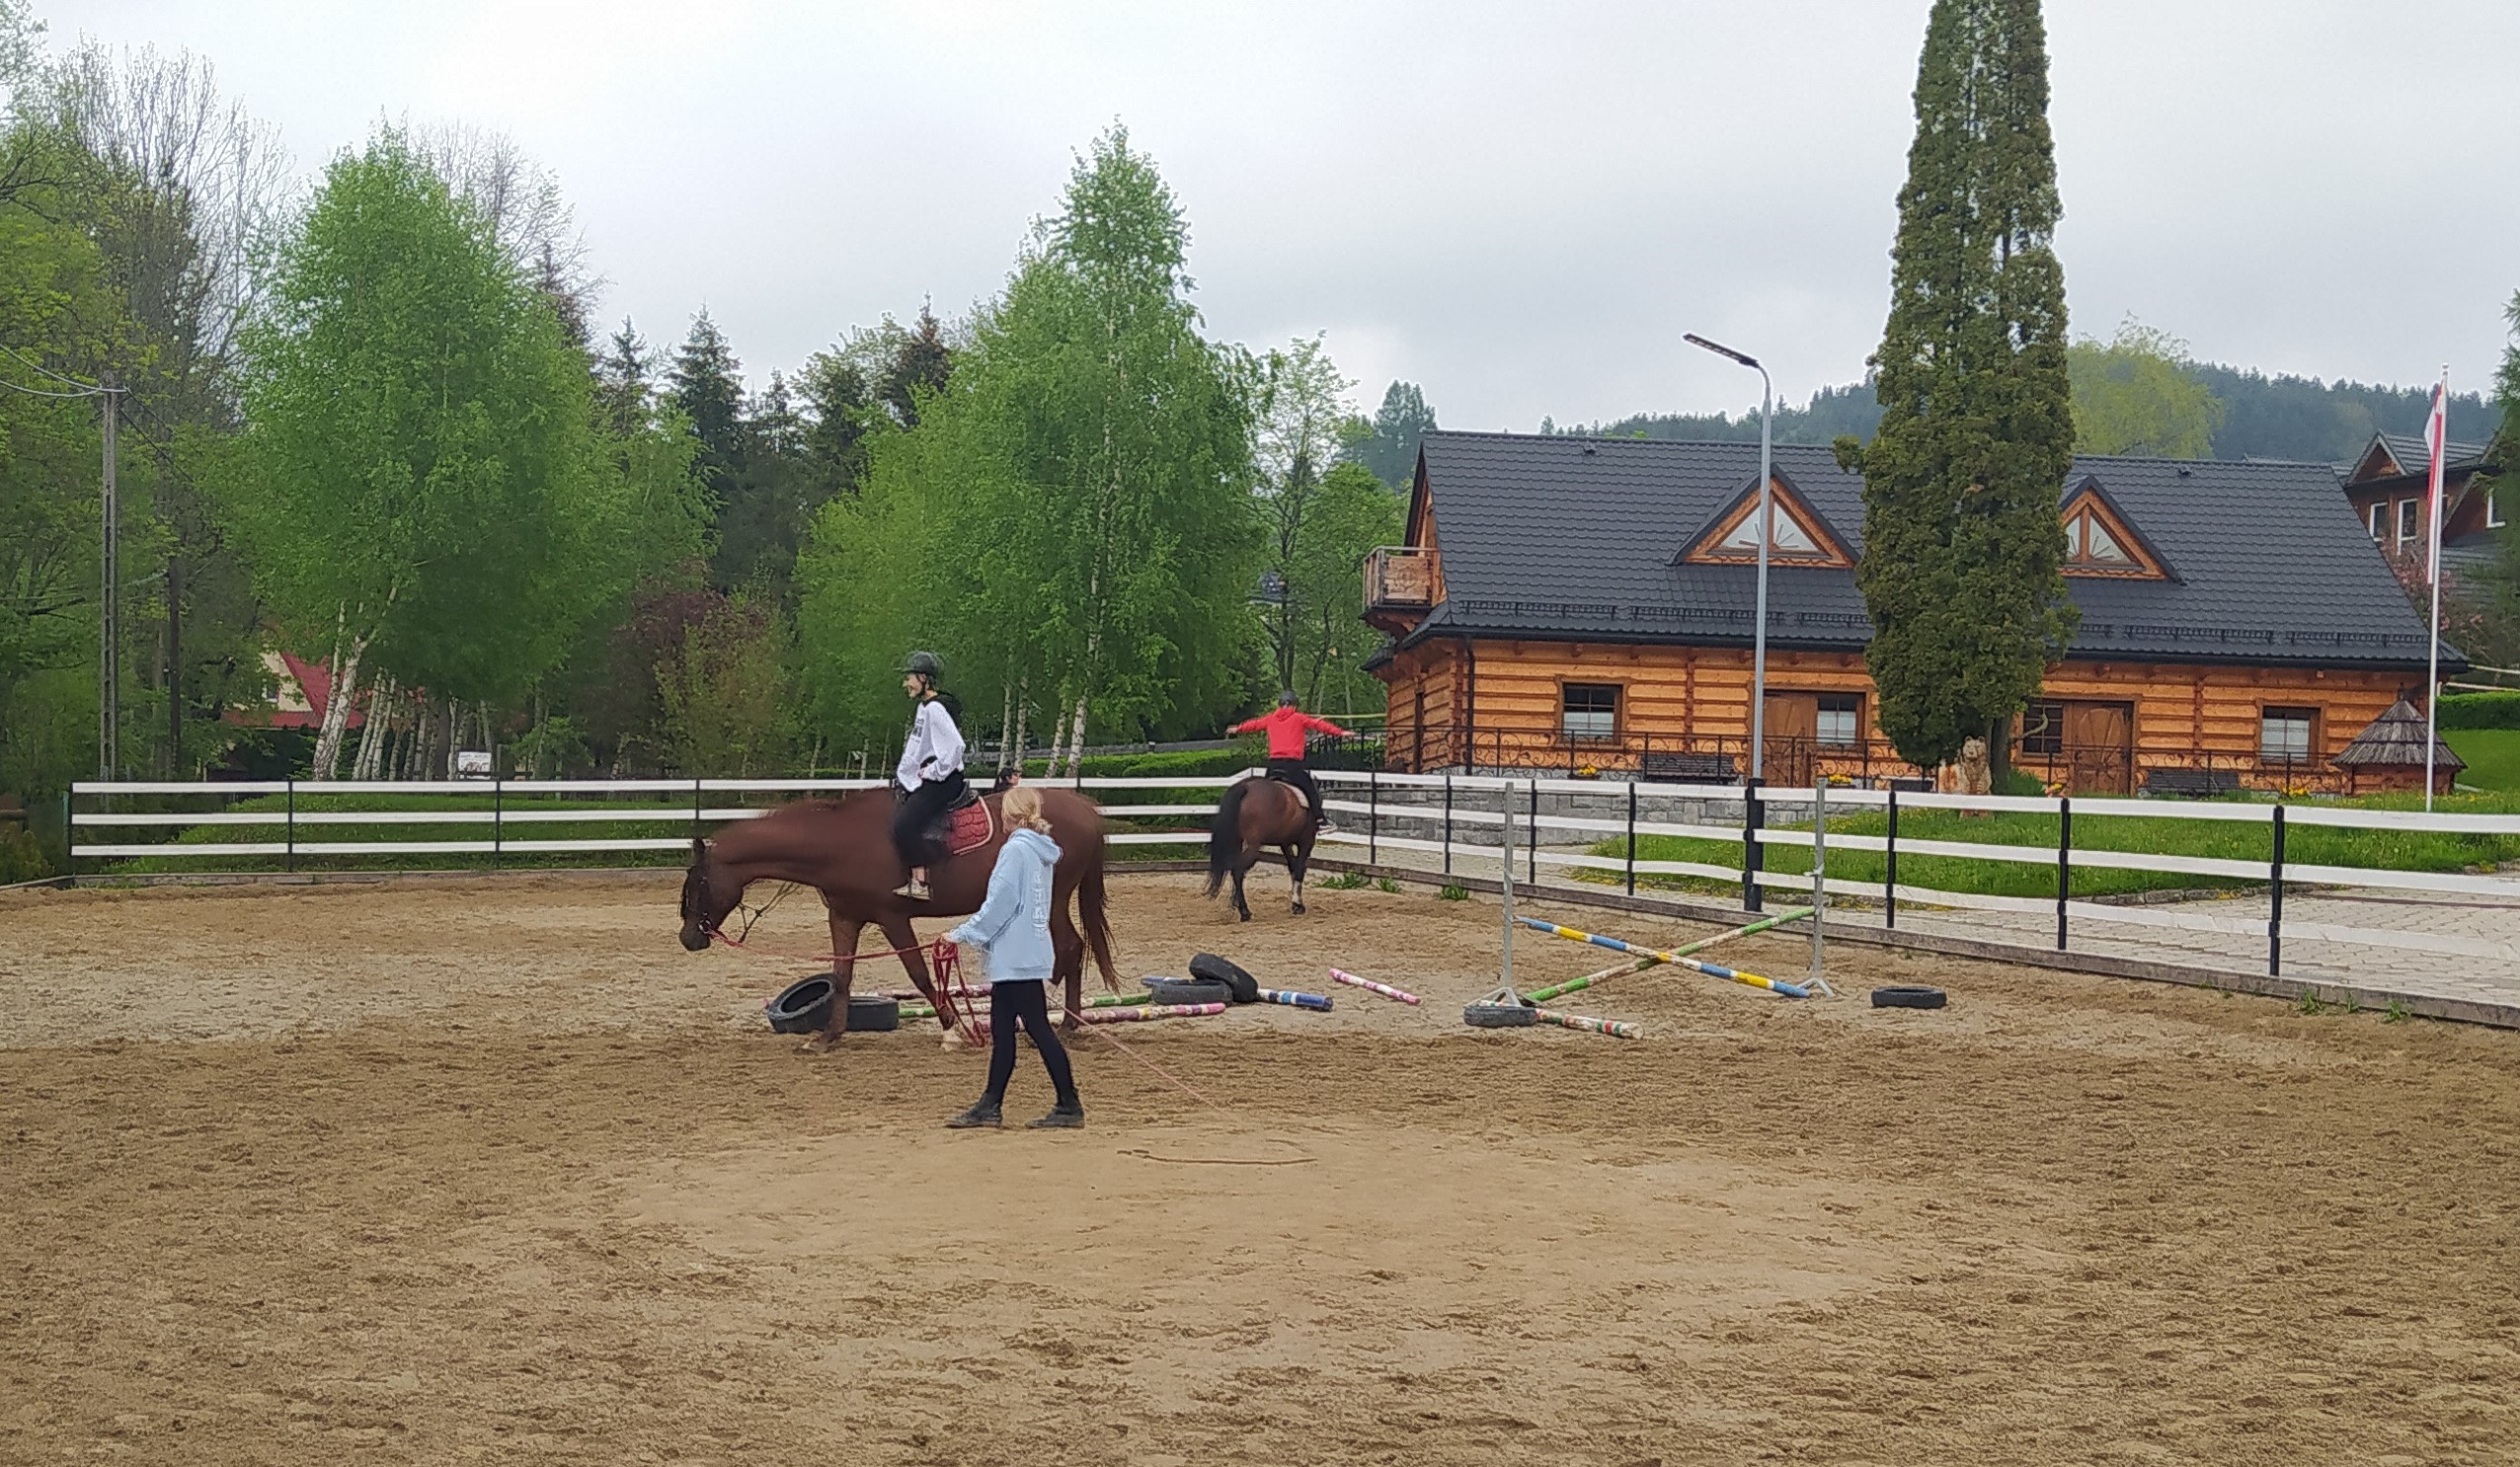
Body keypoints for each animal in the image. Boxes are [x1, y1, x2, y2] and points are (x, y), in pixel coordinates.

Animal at [690, 786, 1124, 1053]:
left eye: (698, 881)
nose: (688, 937)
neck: (842, 842)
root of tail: (1084, 809)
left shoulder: (892, 918)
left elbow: (919, 974)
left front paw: (953, 1030)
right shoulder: (845, 917)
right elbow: (841, 977)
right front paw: (827, 1037)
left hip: (1051, 900)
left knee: (1069, 948)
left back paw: (1063, 1026)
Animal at [1199, 776, 1320, 927]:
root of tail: (1245, 787)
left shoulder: (1285, 843)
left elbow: (1292, 867)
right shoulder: (1306, 842)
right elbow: (1299, 870)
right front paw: (1298, 904)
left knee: (1236, 869)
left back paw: (1237, 906)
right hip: (1254, 846)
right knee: (1238, 870)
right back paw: (1245, 912)